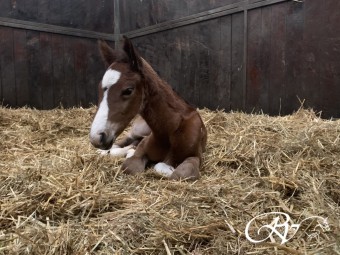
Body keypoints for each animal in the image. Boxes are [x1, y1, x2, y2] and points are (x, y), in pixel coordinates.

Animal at [89, 37, 207, 181]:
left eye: (128, 90)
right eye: (99, 88)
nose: (96, 137)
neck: (170, 131)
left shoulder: (195, 156)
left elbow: (177, 173)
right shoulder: (141, 151)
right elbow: (129, 165)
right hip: (137, 130)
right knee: (124, 141)